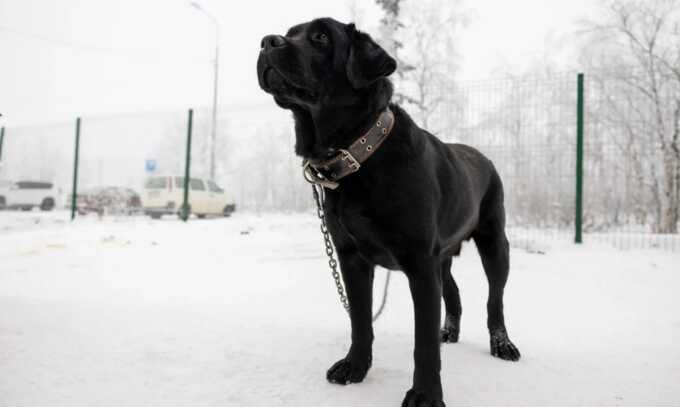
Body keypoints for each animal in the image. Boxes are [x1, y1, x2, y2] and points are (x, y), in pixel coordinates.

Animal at [256, 17, 520, 406]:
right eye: (290, 33)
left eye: (321, 36)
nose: (267, 42)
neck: (358, 154)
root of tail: (483, 157)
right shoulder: (352, 257)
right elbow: (361, 321)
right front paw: (354, 367)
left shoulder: (420, 263)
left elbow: (422, 342)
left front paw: (425, 395)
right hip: (443, 257)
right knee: (453, 292)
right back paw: (449, 331)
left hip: (494, 243)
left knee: (494, 300)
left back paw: (502, 344)